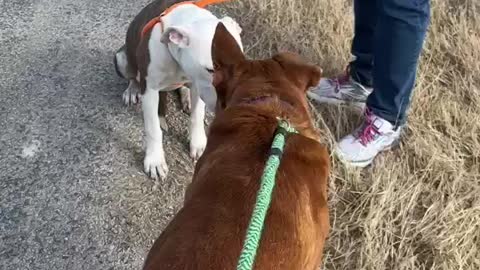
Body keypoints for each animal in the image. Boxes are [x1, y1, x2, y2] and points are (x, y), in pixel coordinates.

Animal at [114, 1, 242, 180]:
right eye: (211, 69)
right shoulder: (150, 90)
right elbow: (153, 128)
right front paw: (155, 160)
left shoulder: (198, 84)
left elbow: (197, 115)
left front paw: (198, 143)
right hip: (122, 59)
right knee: (133, 76)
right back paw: (132, 90)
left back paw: (186, 98)